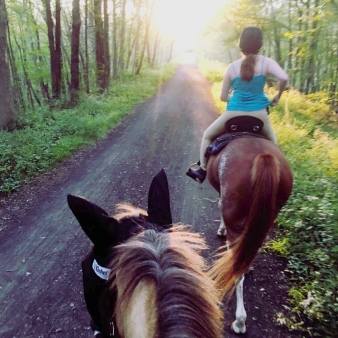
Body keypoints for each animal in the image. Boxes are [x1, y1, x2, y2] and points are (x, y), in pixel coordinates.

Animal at [207, 137, 292, 332]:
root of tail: (264, 157)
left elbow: (219, 205)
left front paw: (221, 230)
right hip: (267, 219)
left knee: (238, 269)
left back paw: (239, 321)